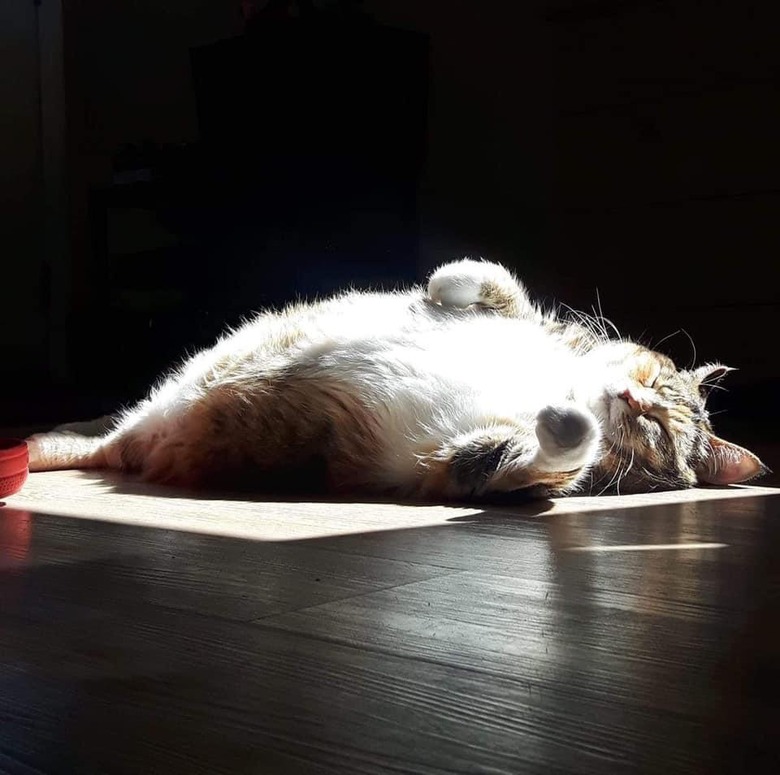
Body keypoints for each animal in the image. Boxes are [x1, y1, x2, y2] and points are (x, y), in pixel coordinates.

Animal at [27, 260, 764, 500]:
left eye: (658, 430)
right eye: (652, 383)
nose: (630, 397)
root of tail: (132, 441)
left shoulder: (464, 462)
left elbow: (545, 454)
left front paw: (568, 423)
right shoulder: (525, 316)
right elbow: (496, 282)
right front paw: (444, 282)